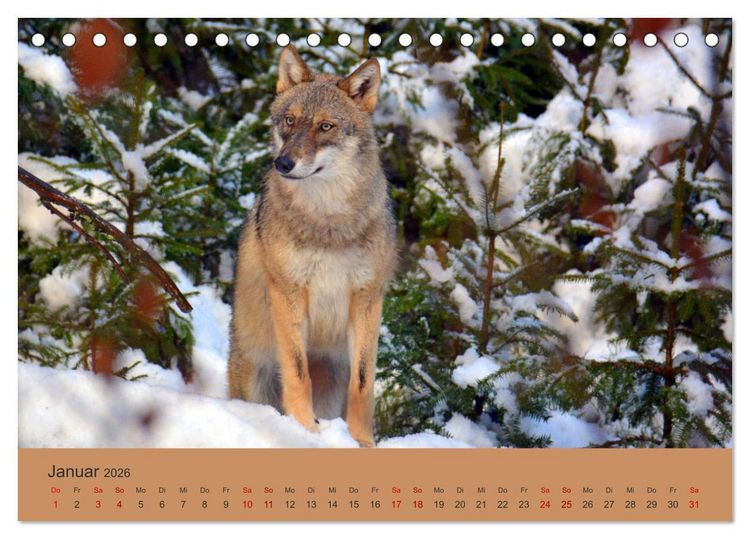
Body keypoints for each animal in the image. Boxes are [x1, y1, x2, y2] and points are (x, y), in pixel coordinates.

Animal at [227, 45, 397, 447]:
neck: (327, 221)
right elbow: (297, 372)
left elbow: (363, 384)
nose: (283, 163)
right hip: (255, 373)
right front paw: (306, 432)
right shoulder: (288, 292)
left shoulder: (367, 298)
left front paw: (362, 443)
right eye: (289, 121)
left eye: (325, 126)